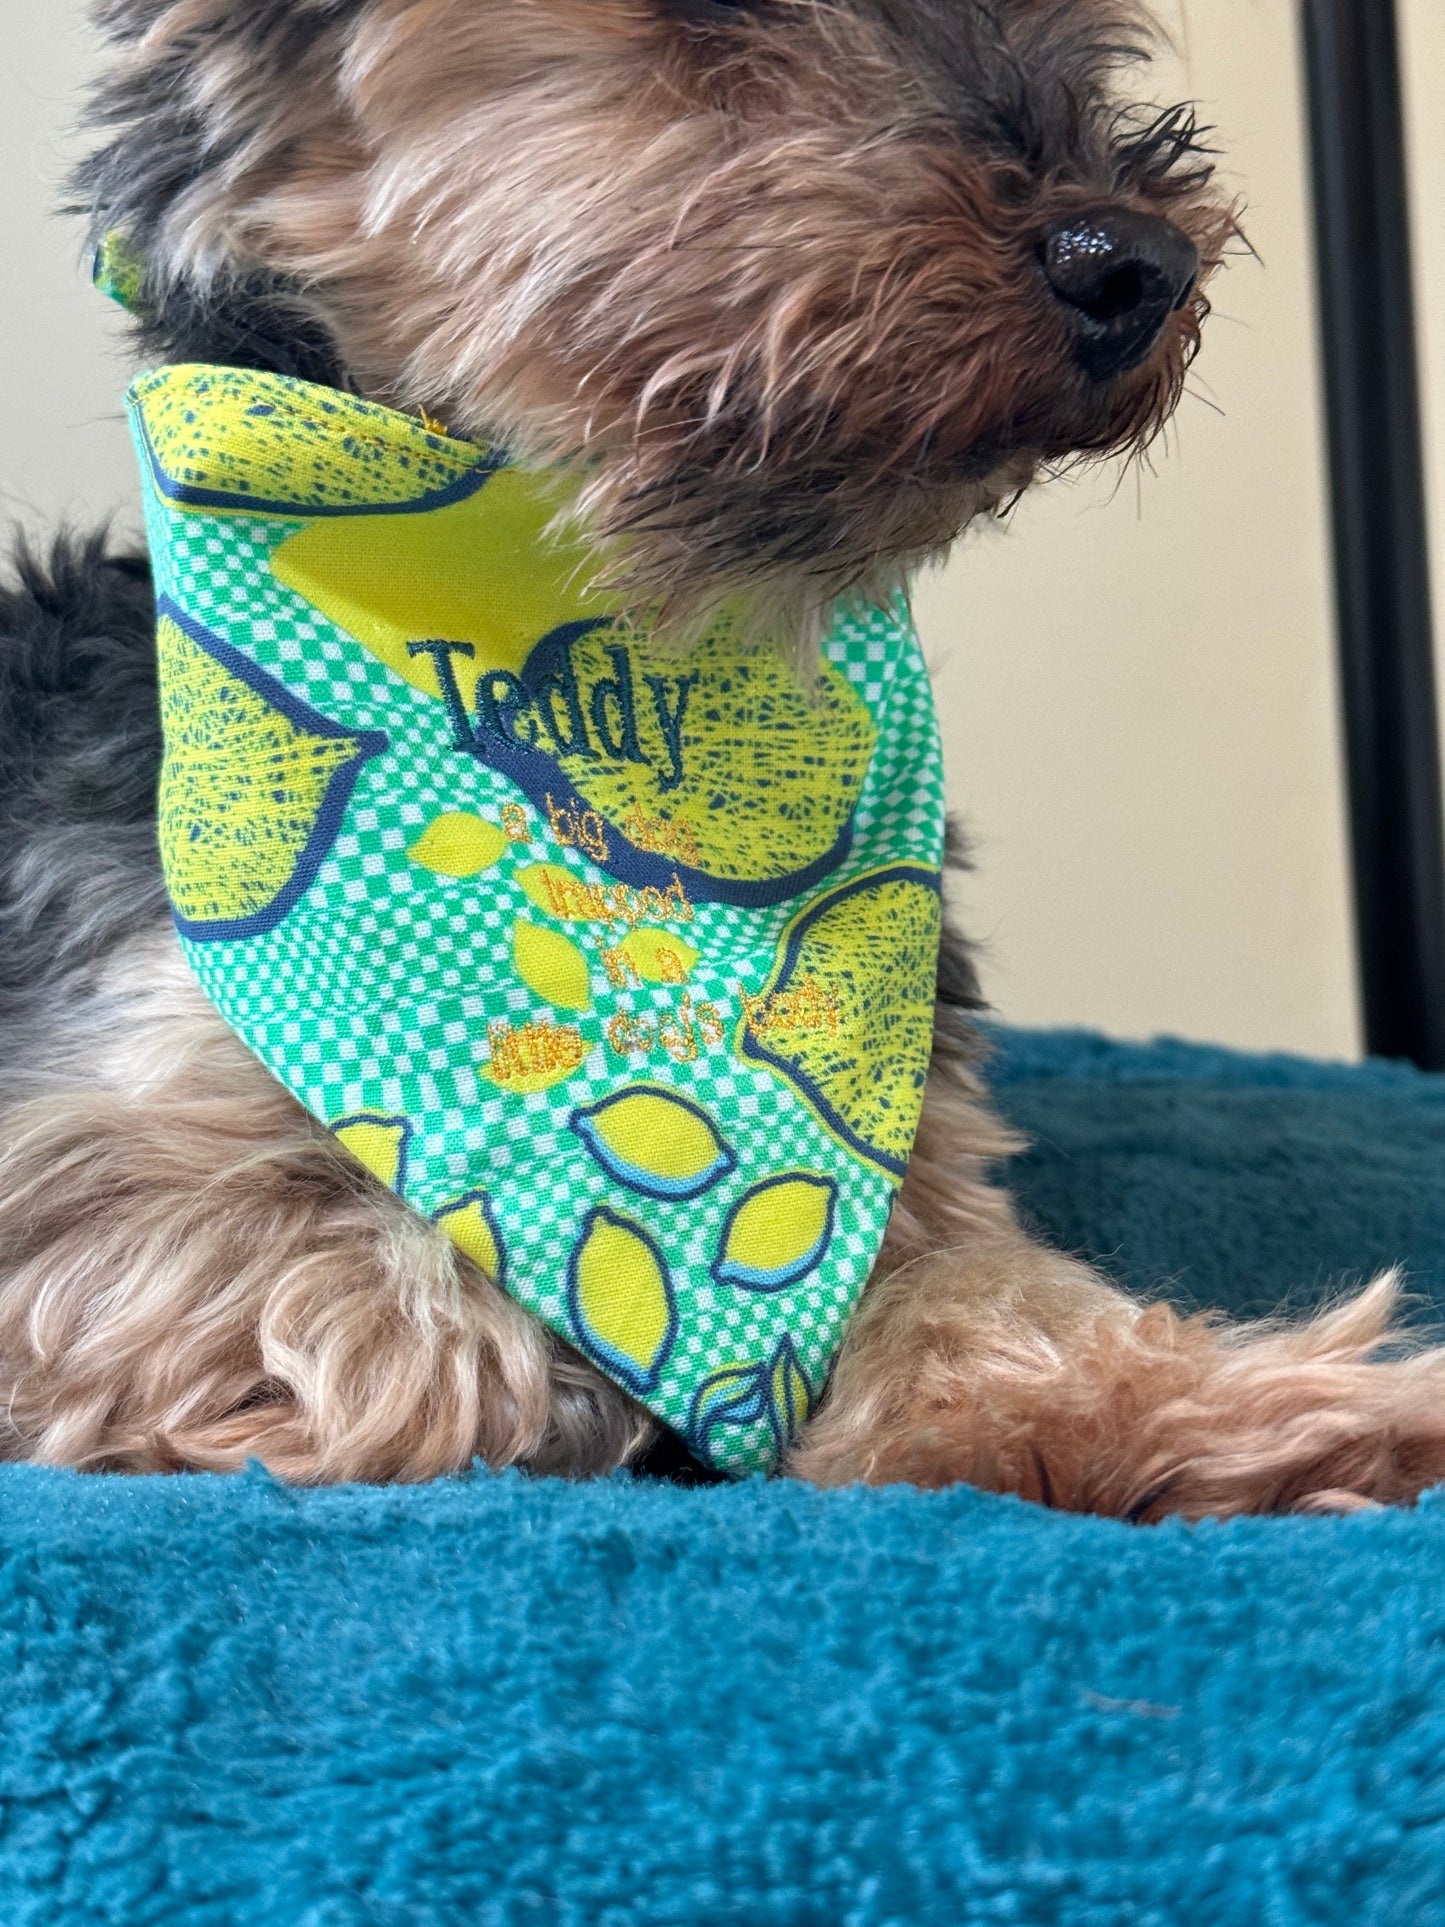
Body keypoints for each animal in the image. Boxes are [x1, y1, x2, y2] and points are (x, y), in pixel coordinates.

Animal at [2, 0, 1445, 1510]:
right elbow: (407, 1304)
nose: (1136, 260)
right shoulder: (98, 1158)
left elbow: (979, 1292)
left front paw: (1234, 1412)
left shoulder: (910, 1141)